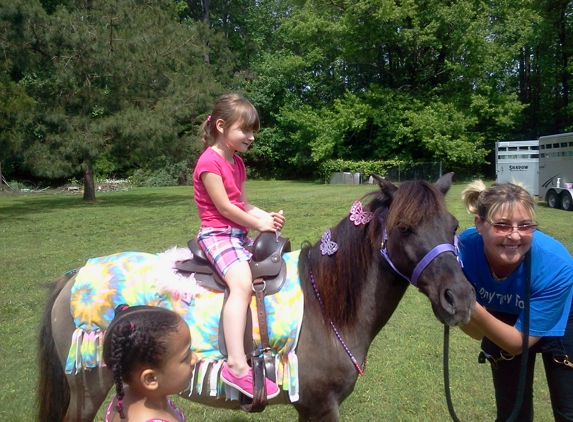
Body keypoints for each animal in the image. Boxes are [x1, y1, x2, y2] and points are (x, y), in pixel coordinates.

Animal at [36, 173, 474, 420]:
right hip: (87, 390)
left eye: (454, 225)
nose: (461, 299)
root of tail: (74, 277)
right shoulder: (319, 407)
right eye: (404, 228)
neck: (326, 305)